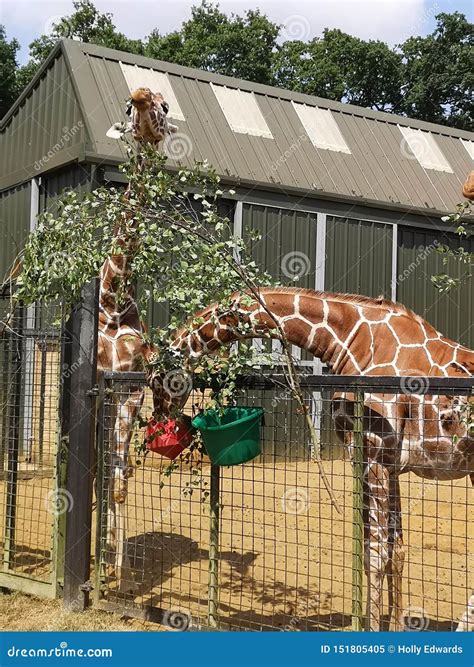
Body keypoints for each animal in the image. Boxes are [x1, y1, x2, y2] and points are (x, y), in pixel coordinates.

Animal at [146, 288, 472, 632]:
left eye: (156, 377)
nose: (160, 418)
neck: (350, 340)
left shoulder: (371, 456)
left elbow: (375, 553)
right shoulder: (391, 464)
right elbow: (396, 550)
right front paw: (394, 628)